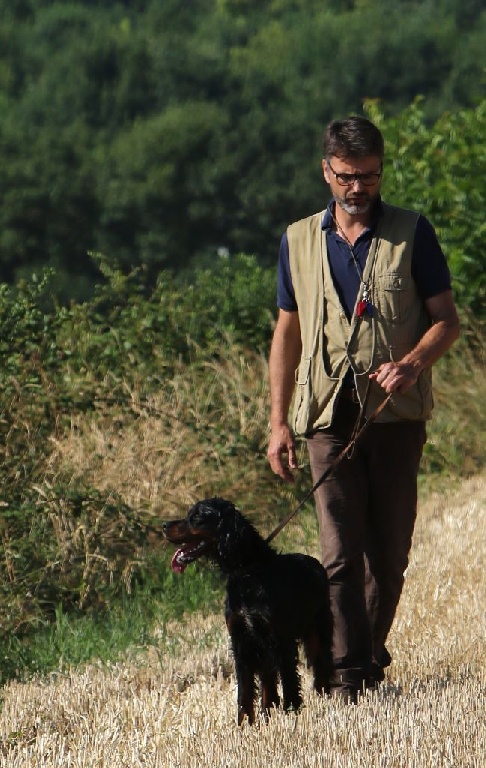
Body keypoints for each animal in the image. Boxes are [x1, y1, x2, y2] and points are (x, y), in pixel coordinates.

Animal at [161, 498, 332, 728]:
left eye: (197, 516)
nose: (164, 525)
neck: (247, 574)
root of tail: (316, 563)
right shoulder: (241, 640)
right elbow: (245, 689)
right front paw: (244, 725)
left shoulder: (281, 640)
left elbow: (289, 681)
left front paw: (291, 716)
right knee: (269, 683)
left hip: (316, 632)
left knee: (321, 667)